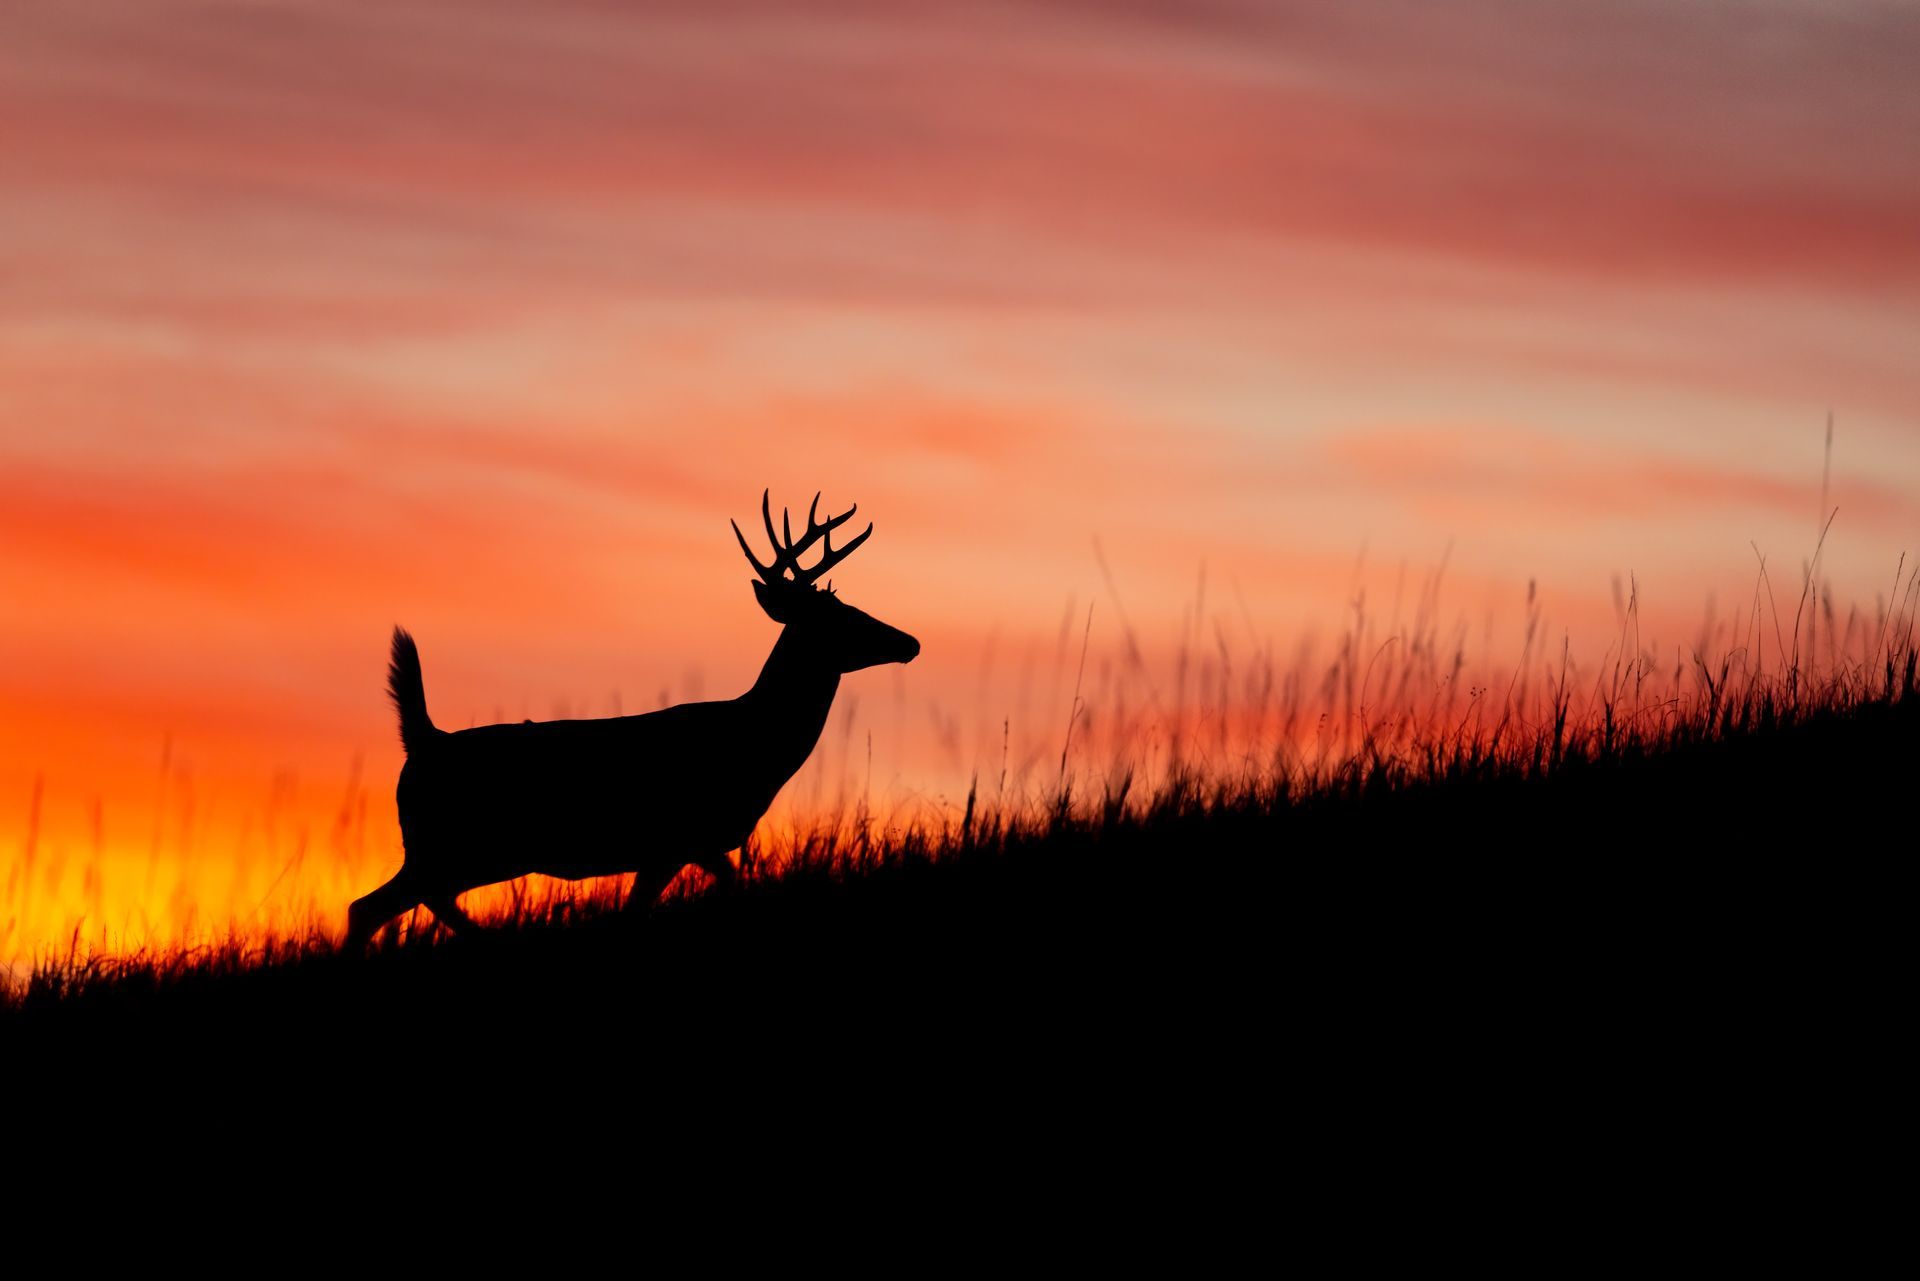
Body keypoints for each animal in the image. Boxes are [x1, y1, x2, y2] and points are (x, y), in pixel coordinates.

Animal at [344, 491, 920, 949]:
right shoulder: (681, 837)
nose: (909, 641)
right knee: (369, 906)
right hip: (455, 845)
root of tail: (424, 741)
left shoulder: (681, 848)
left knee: (387, 905)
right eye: (842, 616)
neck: (754, 744)